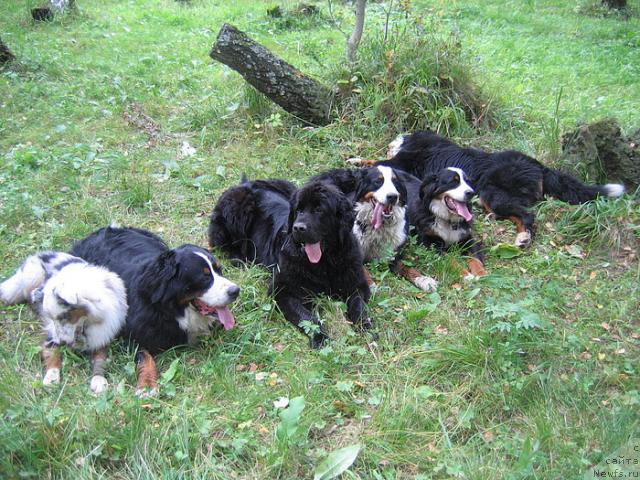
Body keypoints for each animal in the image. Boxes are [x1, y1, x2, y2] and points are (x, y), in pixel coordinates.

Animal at [0, 251, 127, 394]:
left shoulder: (102, 337)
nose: (62, 342)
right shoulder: (51, 338)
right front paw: (51, 378)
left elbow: (100, 360)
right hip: (29, 279)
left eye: (65, 316)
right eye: (52, 318)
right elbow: (53, 356)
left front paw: (99, 380)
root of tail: (41, 253)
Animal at [70, 227, 240, 396]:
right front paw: (146, 385)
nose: (235, 291)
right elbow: (146, 358)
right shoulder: (135, 338)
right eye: (205, 277)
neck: (171, 310)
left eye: (219, 270)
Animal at [210, 178, 370, 346]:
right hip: (235, 213)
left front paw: (365, 326)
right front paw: (320, 337)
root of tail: (245, 183)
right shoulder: (282, 290)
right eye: (299, 210)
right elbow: (308, 317)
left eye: (319, 210)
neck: (324, 262)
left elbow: (358, 306)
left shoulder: (357, 283)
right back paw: (240, 260)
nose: (298, 228)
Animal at [376, 129, 624, 246]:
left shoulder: (402, 161)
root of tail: (540, 166)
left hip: (490, 192)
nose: (391, 143)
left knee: (527, 215)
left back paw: (523, 238)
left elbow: (376, 161)